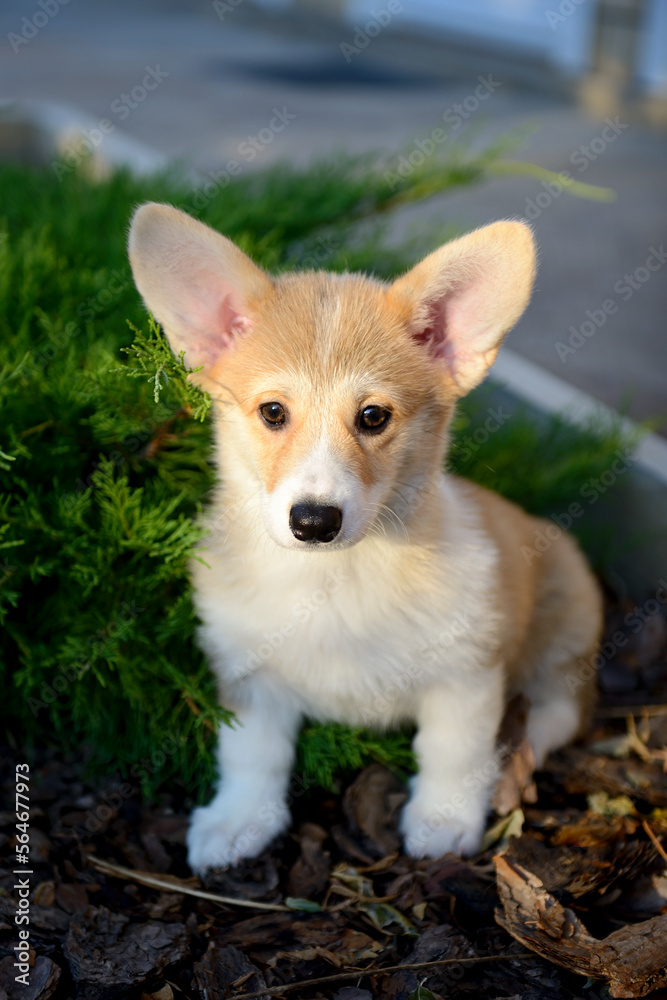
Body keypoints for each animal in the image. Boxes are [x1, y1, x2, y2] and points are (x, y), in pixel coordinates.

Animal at [128, 207, 604, 872]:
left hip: (567, 626)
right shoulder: (249, 674)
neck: (336, 579)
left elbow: (453, 752)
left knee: (557, 713)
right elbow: (252, 756)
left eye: (373, 417)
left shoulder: (467, 675)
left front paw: (443, 822)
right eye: (273, 412)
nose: (314, 521)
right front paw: (237, 823)